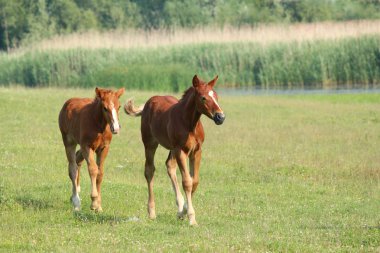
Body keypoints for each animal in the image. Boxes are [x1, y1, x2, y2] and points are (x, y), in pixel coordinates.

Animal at [124, 75, 226, 225]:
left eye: (216, 96)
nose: (220, 117)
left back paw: (179, 205)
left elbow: (194, 181)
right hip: (150, 143)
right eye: (203, 98)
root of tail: (148, 103)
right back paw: (152, 212)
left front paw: (182, 212)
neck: (190, 124)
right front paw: (191, 218)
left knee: (169, 166)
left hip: (171, 149)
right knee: (149, 170)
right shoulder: (180, 151)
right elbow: (187, 182)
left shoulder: (196, 151)